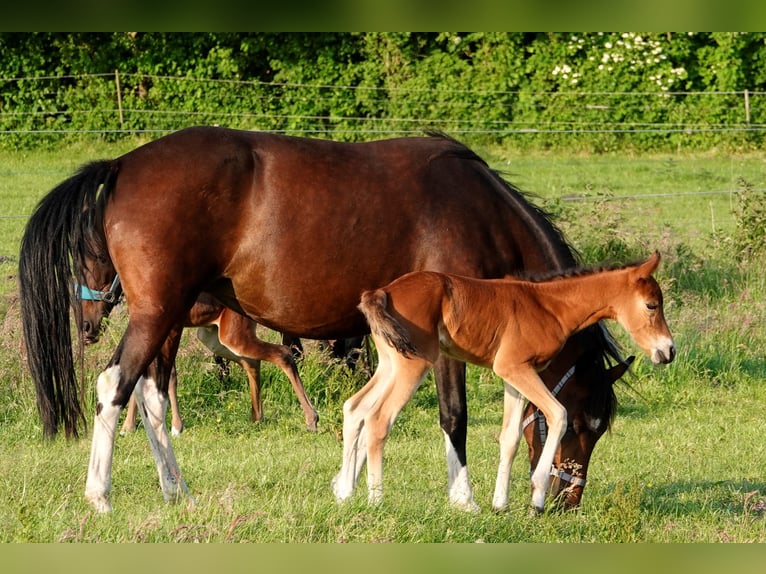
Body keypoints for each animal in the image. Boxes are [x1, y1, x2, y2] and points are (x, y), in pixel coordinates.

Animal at [19, 128, 632, 516]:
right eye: (587, 423)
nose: (567, 502)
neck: (481, 210)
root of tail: (124, 165)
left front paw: (351, 484)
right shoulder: (445, 342)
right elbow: (454, 416)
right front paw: (464, 499)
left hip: (167, 319)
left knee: (149, 396)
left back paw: (177, 492)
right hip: (155, 315)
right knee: (113, 387)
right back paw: (100, 496)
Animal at [336, 254, 680, 516]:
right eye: (652, 305)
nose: (668, 351)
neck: (550, 306)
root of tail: (381, 292)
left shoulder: (513, 377)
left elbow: (510, 436)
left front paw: (500, 505)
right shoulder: (515, 368)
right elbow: (557, 414)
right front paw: (536, 500)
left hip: (390, 363)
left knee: (354, 408)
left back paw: (345, 494)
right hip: (414, 365)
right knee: (378, 419)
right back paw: (376, 500)